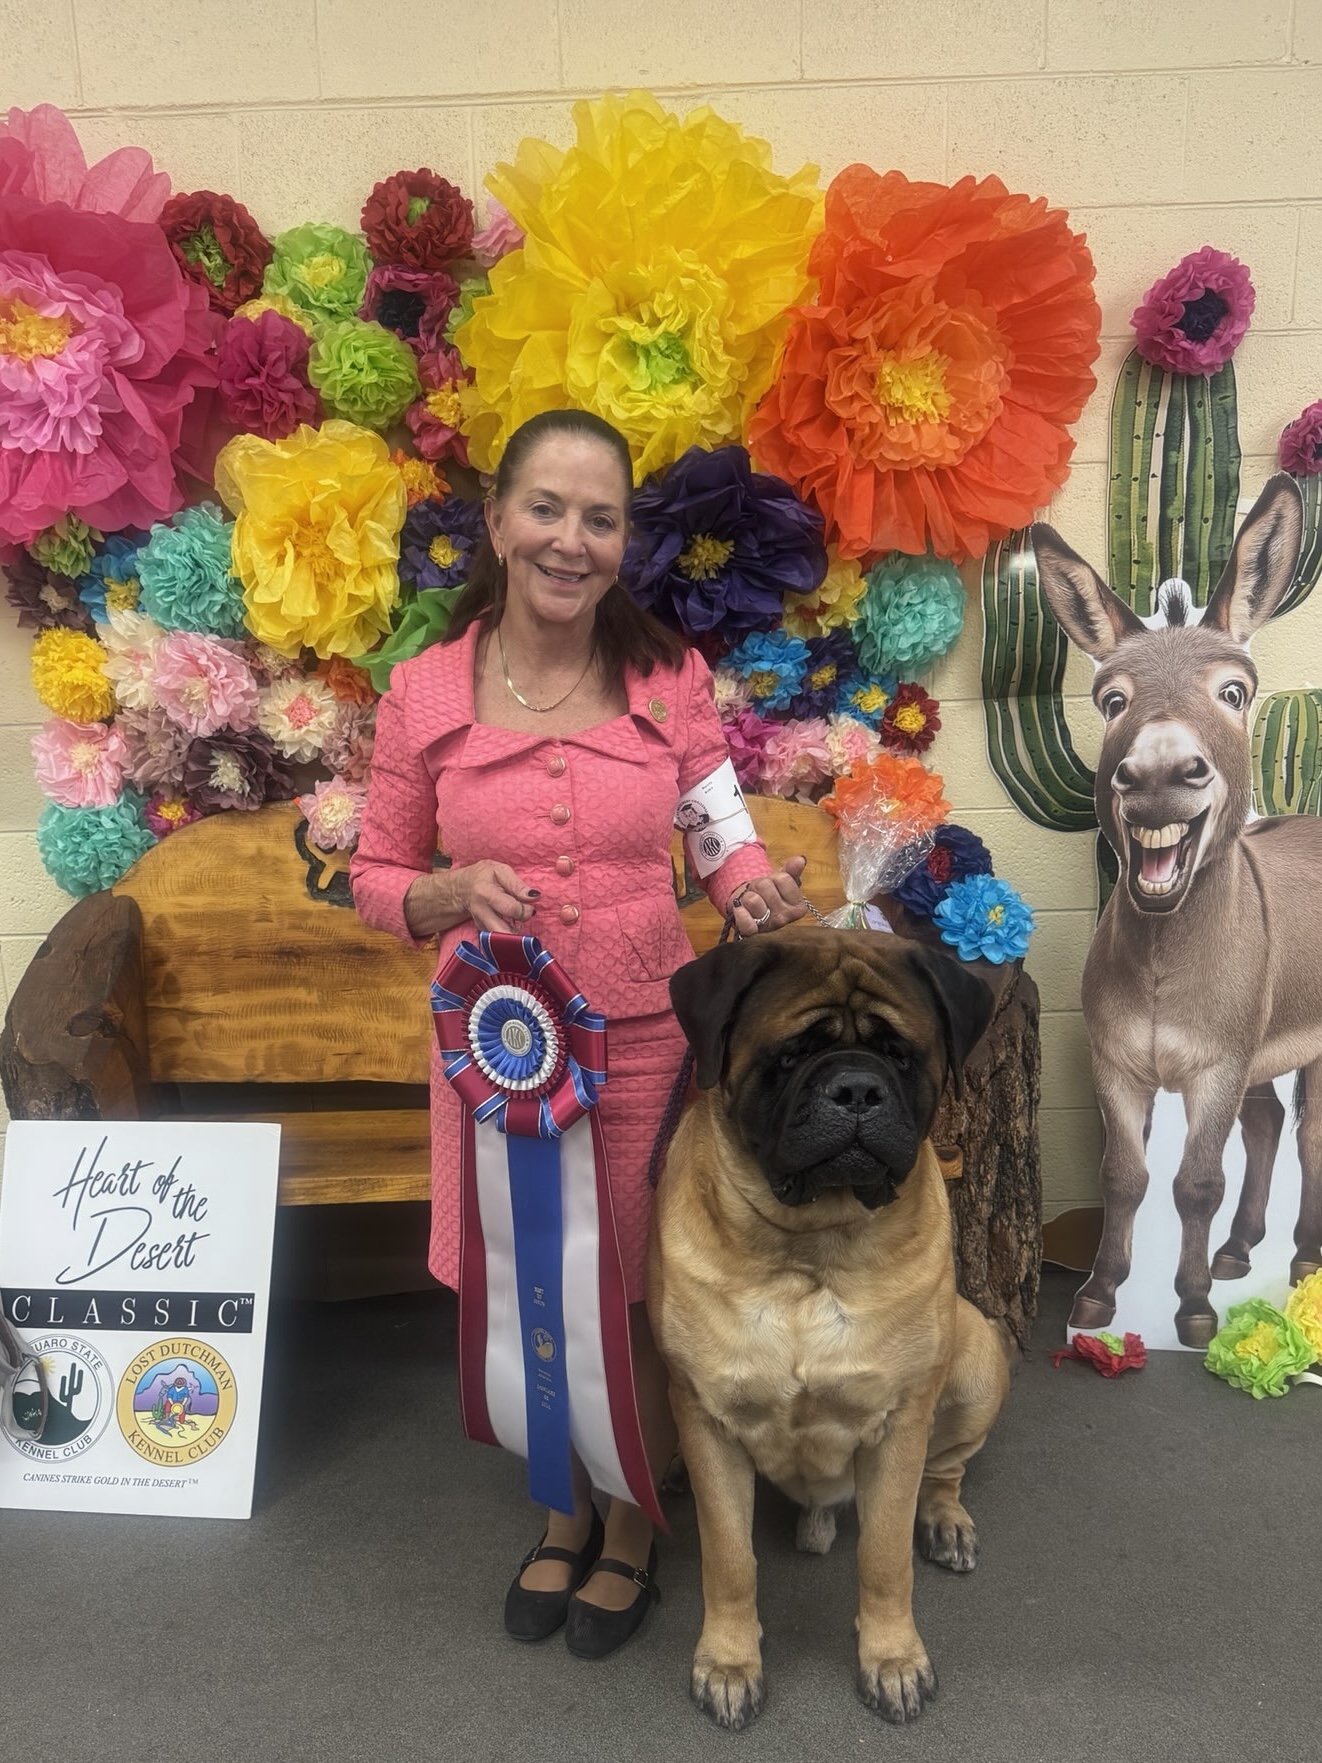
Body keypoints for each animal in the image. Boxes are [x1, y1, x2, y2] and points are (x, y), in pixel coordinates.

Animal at [647, 924, 1013, 1729]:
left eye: (901, 1054)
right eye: (790, 1054)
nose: (857, 1089)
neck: (810, 1248)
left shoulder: (901, 1420)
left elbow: (884, 1555)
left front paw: (893, 1659)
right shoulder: (706, 1414)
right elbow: (730, 1556)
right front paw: (729, 1662)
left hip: (977, 1357)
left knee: (946, 1469)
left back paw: (946, 1521)